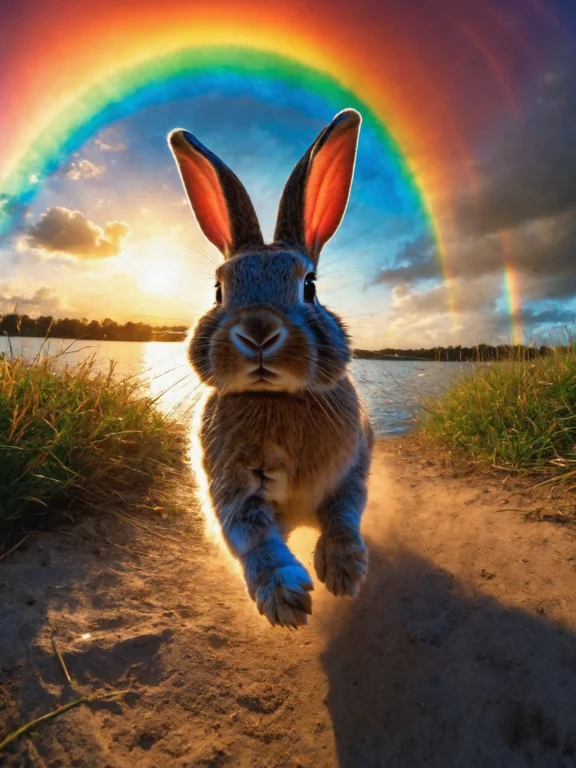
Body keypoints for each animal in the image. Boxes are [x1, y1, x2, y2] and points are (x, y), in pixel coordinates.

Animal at [168, 109, 373, 628]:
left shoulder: (352, 468)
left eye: (310, 287)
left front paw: (343, 571)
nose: (258, 331)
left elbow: (344, 515)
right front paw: (285, 598)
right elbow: (252, 536)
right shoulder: (232, 490)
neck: (275, 400)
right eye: (218, 290)